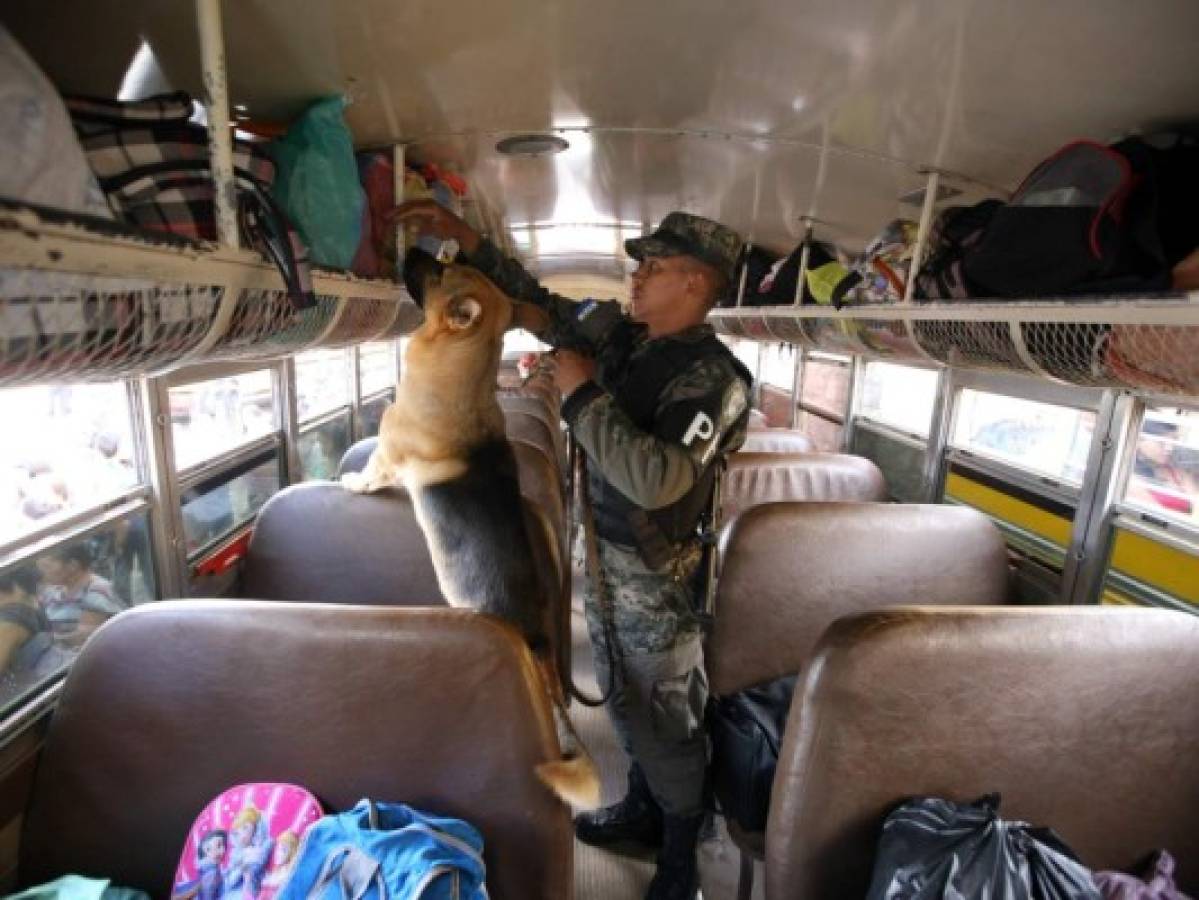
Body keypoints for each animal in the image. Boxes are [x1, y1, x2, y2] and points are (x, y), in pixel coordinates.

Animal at [340, 246, 597, 810]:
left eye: (440, 272)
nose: (416, 248)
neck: (465, 368)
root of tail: (538, 641)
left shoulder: (388, 454)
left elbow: (371, 473)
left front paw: (350, 482)